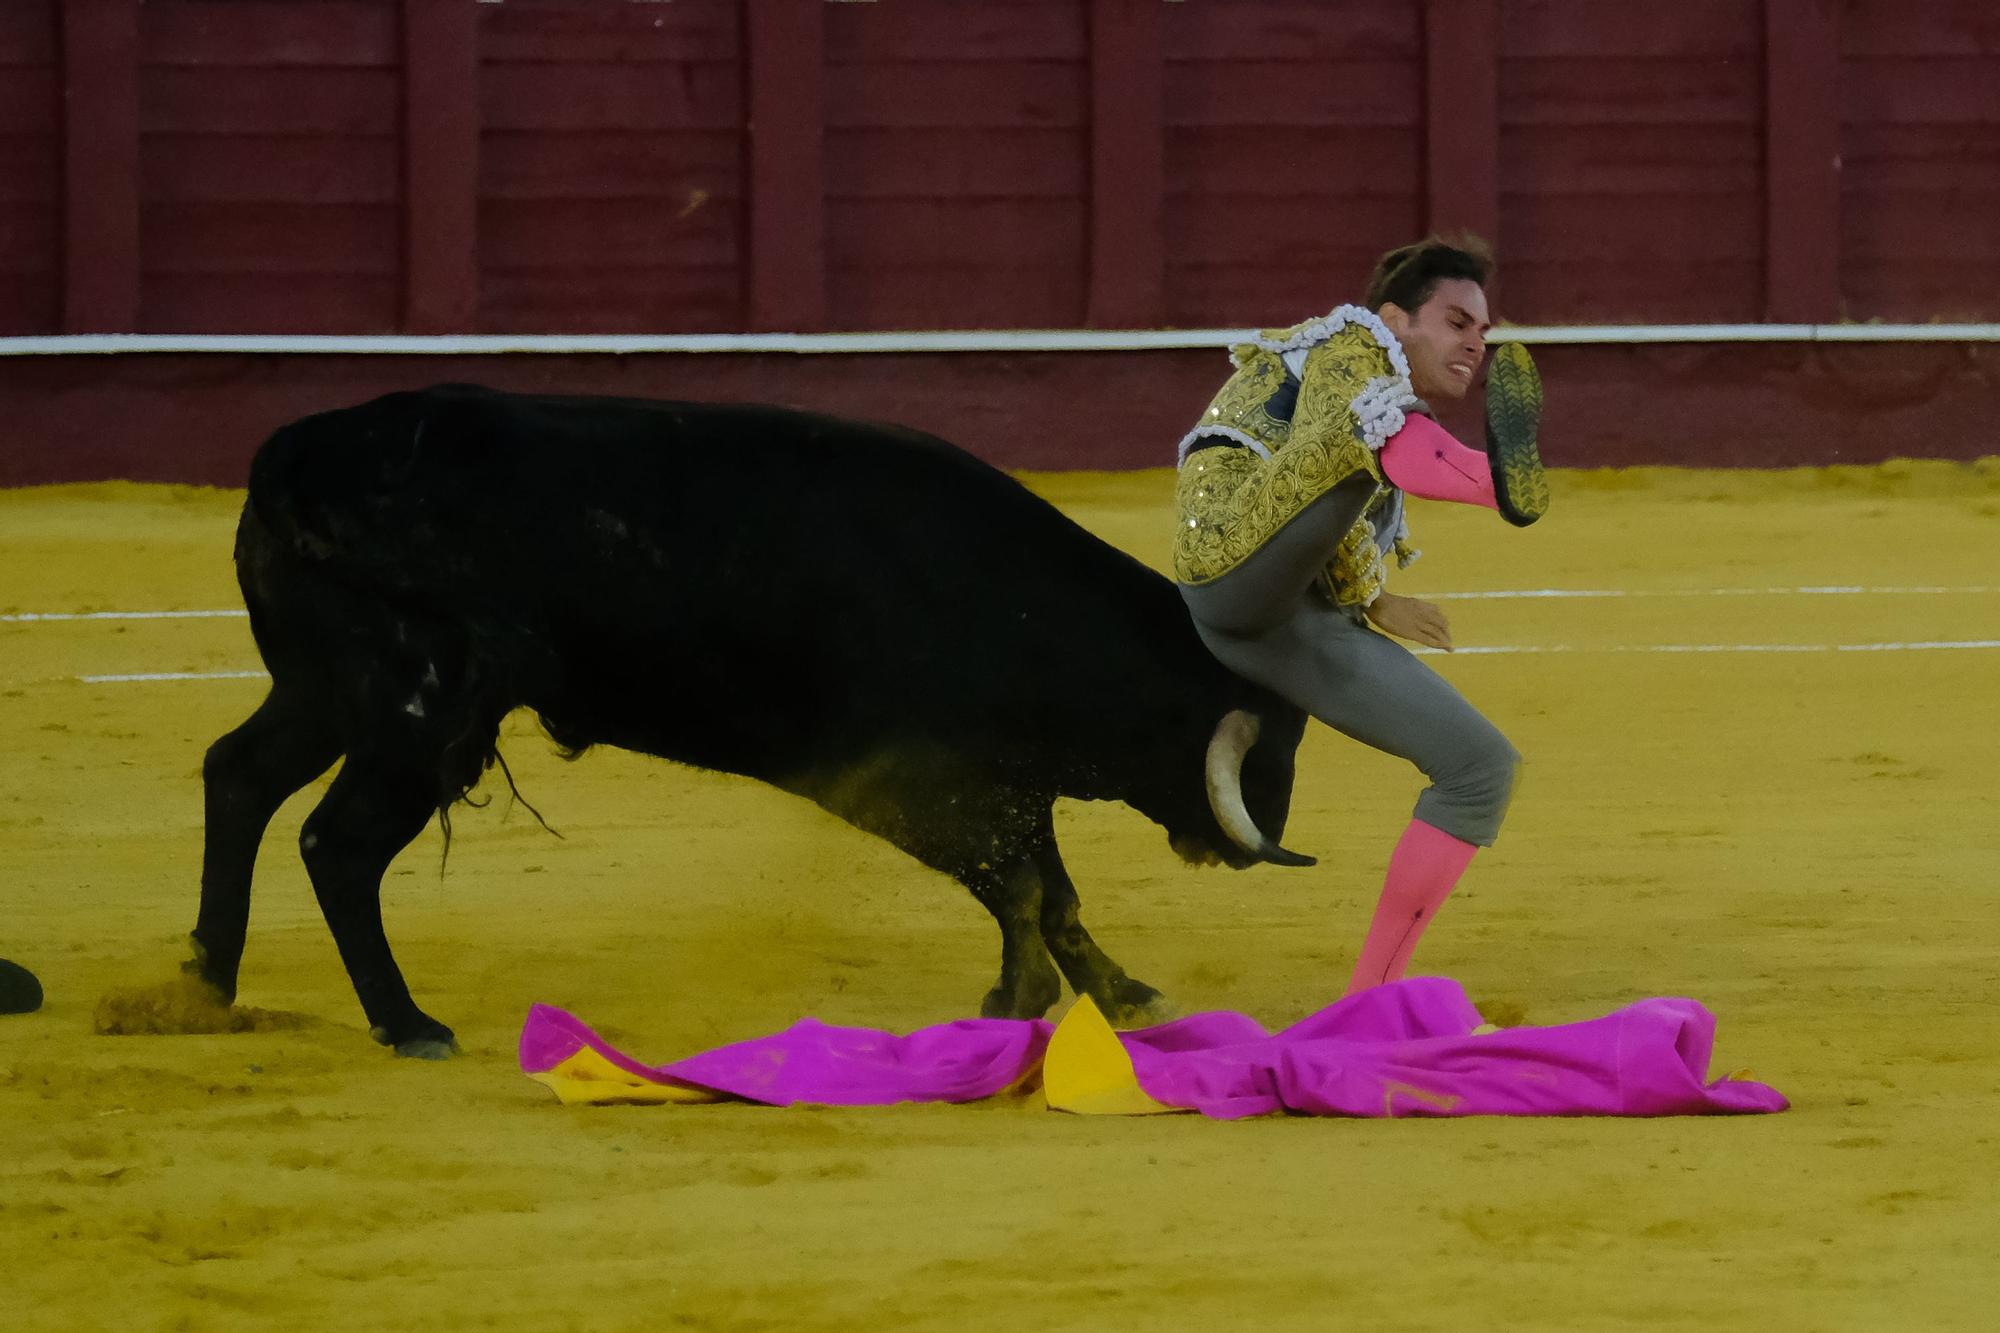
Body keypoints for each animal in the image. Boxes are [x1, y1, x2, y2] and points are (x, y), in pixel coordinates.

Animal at [188, 386, 1312, 1056]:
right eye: (1261, 743)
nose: (1255, 841)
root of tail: (291, 457)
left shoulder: (996, 784)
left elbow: (1051, 893)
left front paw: (1119, 996)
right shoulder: (912, 781)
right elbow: (1025, 886)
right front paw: (1020, 999)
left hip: (324, 694)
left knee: (238, 774)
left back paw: (207, 981)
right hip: (414, 712)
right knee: (337, 844)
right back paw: (406, 1020)